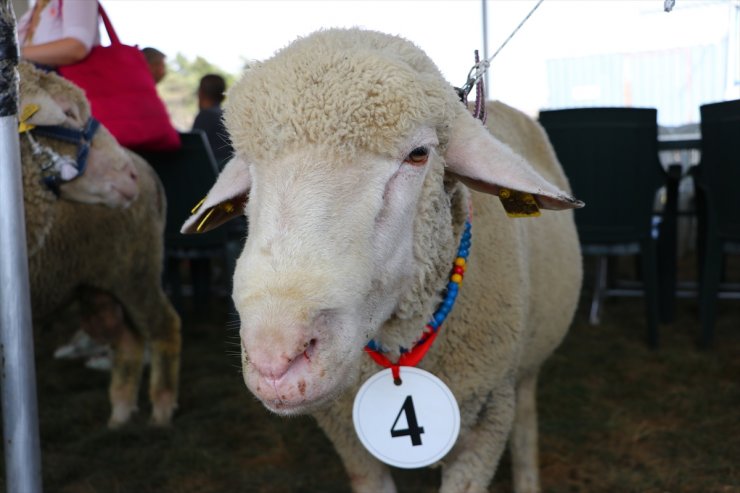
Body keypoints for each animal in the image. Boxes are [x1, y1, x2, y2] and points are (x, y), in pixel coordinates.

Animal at [19, 63, 181, 426]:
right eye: (67, 113)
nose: (129, 176)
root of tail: (149, 168)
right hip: (97, 285)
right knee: (128, 341)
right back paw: (119, 417)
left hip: (136, 269)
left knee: (163, 325)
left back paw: (161, 412)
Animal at [182, 28, 580, 490]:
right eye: (247, 164)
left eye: (419, 154)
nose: (276, 361)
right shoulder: (346, 431)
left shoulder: (488, 417)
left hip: (526, 365)